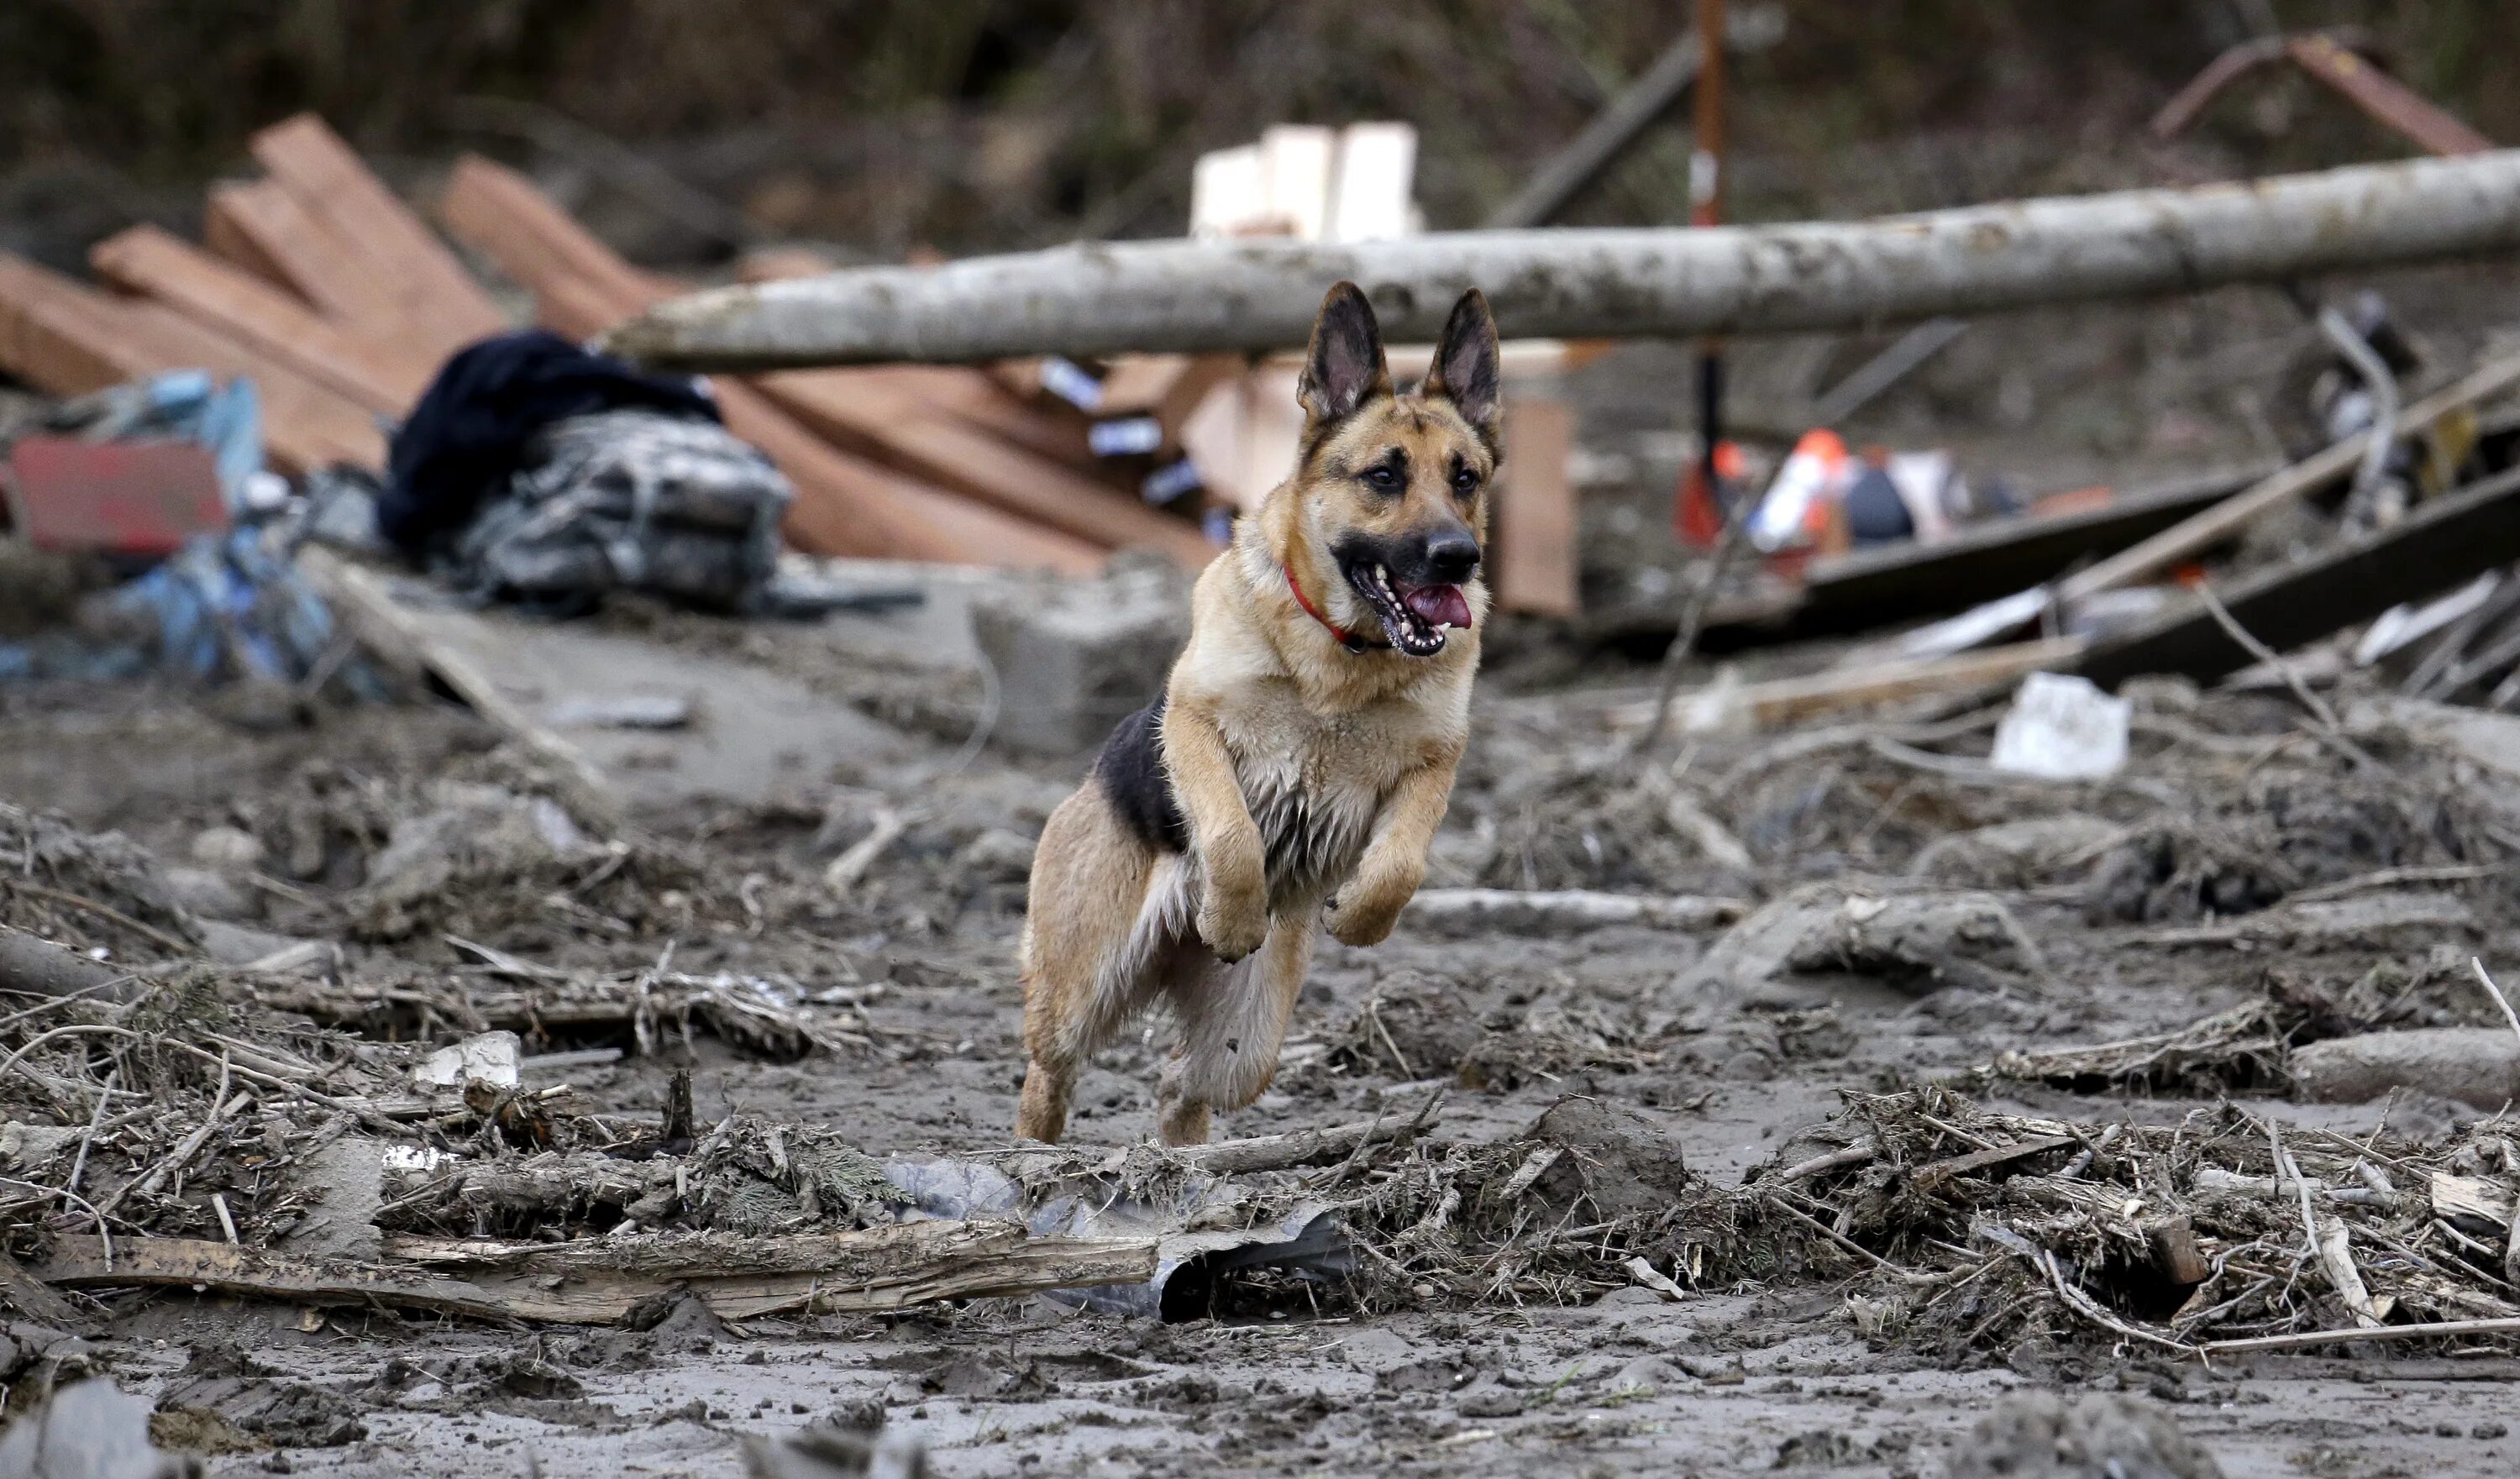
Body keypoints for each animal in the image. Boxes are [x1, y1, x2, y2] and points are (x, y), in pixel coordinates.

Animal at [1013, 286, 1492, 1144]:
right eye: (1384, 475)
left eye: (1465, 477)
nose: (1457, 557)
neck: (1344, 657)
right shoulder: (1194, 727)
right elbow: (1233, 836)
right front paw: (1234, 917)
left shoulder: (1435, 764)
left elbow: (1400, 863)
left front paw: (1360, 917)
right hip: (1081, 989)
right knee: (1049, 1072)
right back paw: (1032, 1155)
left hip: (1252, 1041)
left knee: (1183, 1083)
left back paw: (1182, 1162)